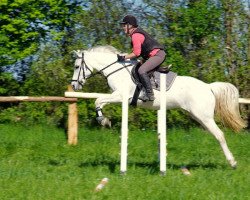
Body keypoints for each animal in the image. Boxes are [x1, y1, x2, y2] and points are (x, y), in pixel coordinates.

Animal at [70, 45, 246, 167]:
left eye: (77, 67)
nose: (74, 86)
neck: (117, 70)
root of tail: (208, 87)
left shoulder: (120, 96)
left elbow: (98, 100)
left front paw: (104, 121)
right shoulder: (117, 97)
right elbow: (99, 101)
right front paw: (104, 120)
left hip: (204, 117)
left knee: (220, 135)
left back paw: (232, 162)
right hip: (198, 116)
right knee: (215, 134)